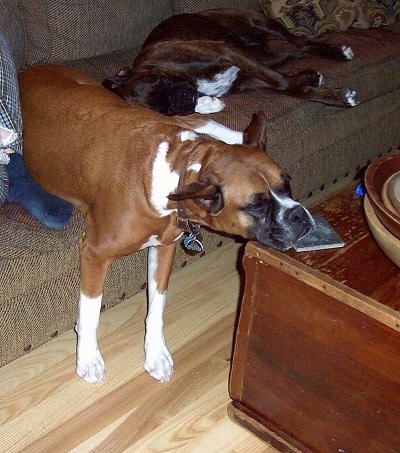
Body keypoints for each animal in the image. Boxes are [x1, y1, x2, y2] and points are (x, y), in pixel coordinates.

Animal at [102, 7, 356, 115]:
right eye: (166, 111)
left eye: (162, 81)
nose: (180, 99)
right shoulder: (244, 78)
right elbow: (287, 86)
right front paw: (322, 90)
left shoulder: (229, 53)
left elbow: (282, 83)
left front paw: (336, 96)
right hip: (268, 57)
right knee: (297, 51)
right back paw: (314, 71)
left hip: (260, 24)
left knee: (299, 42)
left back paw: (338, 52)